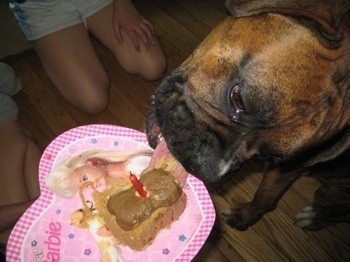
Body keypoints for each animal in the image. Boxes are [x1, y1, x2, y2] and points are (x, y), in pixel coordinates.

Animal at [145, 0, 350, 229]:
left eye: (266, 155)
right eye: (238, 99)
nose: (207, 170)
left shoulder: (285, 170)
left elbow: (264, 198)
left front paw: (244, 217)